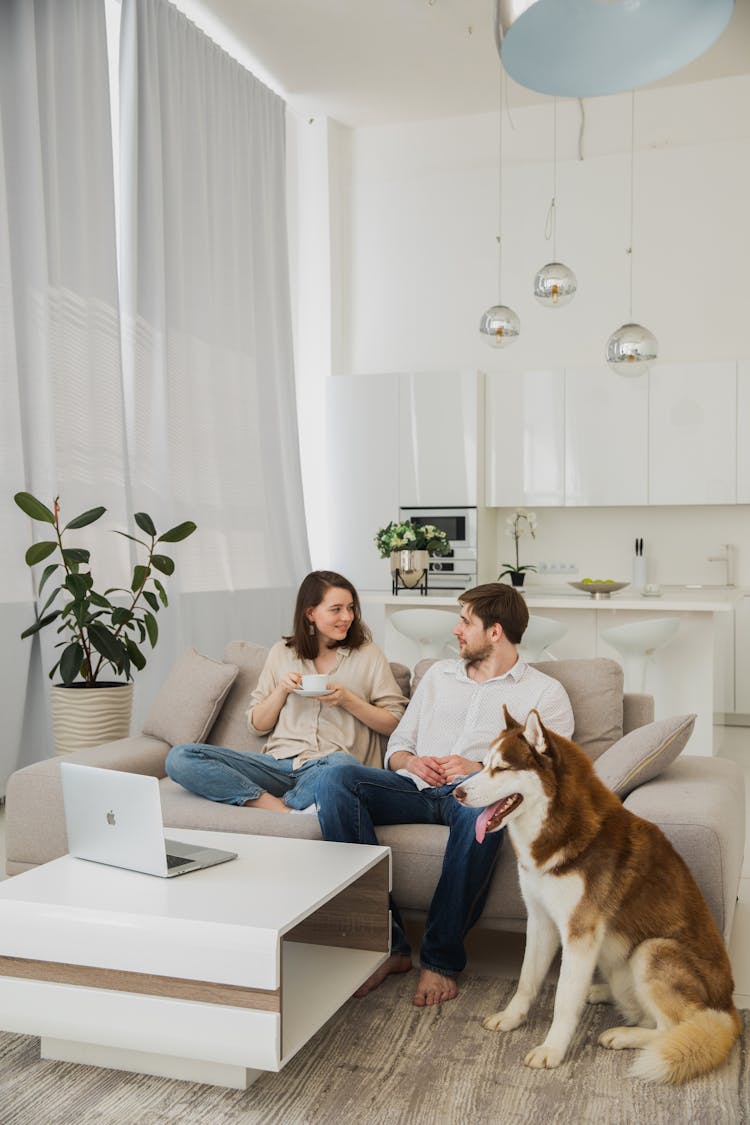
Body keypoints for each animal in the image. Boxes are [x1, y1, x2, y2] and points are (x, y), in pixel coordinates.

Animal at [454, 706, 742, 1084]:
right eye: (482, 763)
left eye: (500, 768)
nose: (456, 793)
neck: (561, 829)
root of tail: (730, 1008)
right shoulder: (540, 920)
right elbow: (527, 980)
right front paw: (512, 1017)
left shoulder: (580, 933)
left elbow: (563, 1000)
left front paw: (552, 1050)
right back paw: (601, 992)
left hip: (653, 950)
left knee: (673, 1028)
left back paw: (624, 1035)